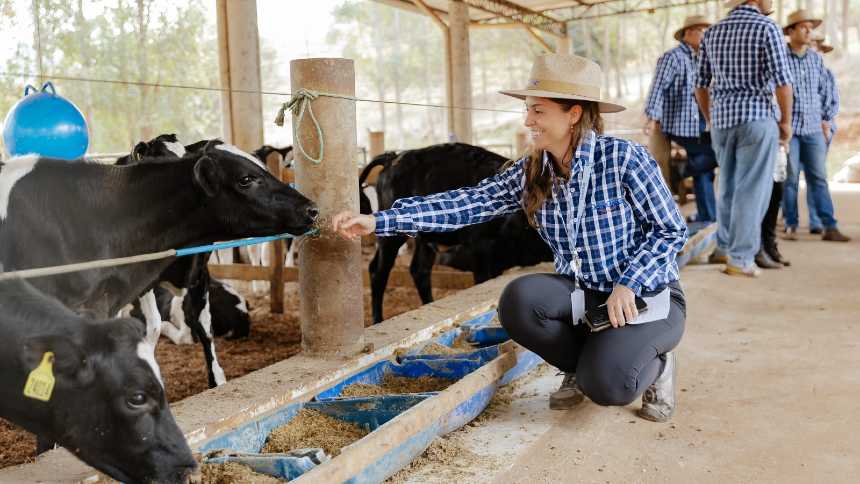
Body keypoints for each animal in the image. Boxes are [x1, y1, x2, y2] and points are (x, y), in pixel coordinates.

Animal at [362, 144, 552, 326]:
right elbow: (482, 280)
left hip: (424, 240)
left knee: (419, 270)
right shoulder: (481, 249)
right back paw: (378, 320)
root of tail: (393, 157)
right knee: (378, 271)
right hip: (391, 239)